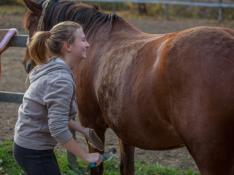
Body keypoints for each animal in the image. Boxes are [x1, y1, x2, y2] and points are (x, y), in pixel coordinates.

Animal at [22, 0, 234, 174]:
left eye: (30, 25)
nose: (27, 64)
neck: (93, 41)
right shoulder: (125, 131)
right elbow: (127, 167)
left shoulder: (93, 126)